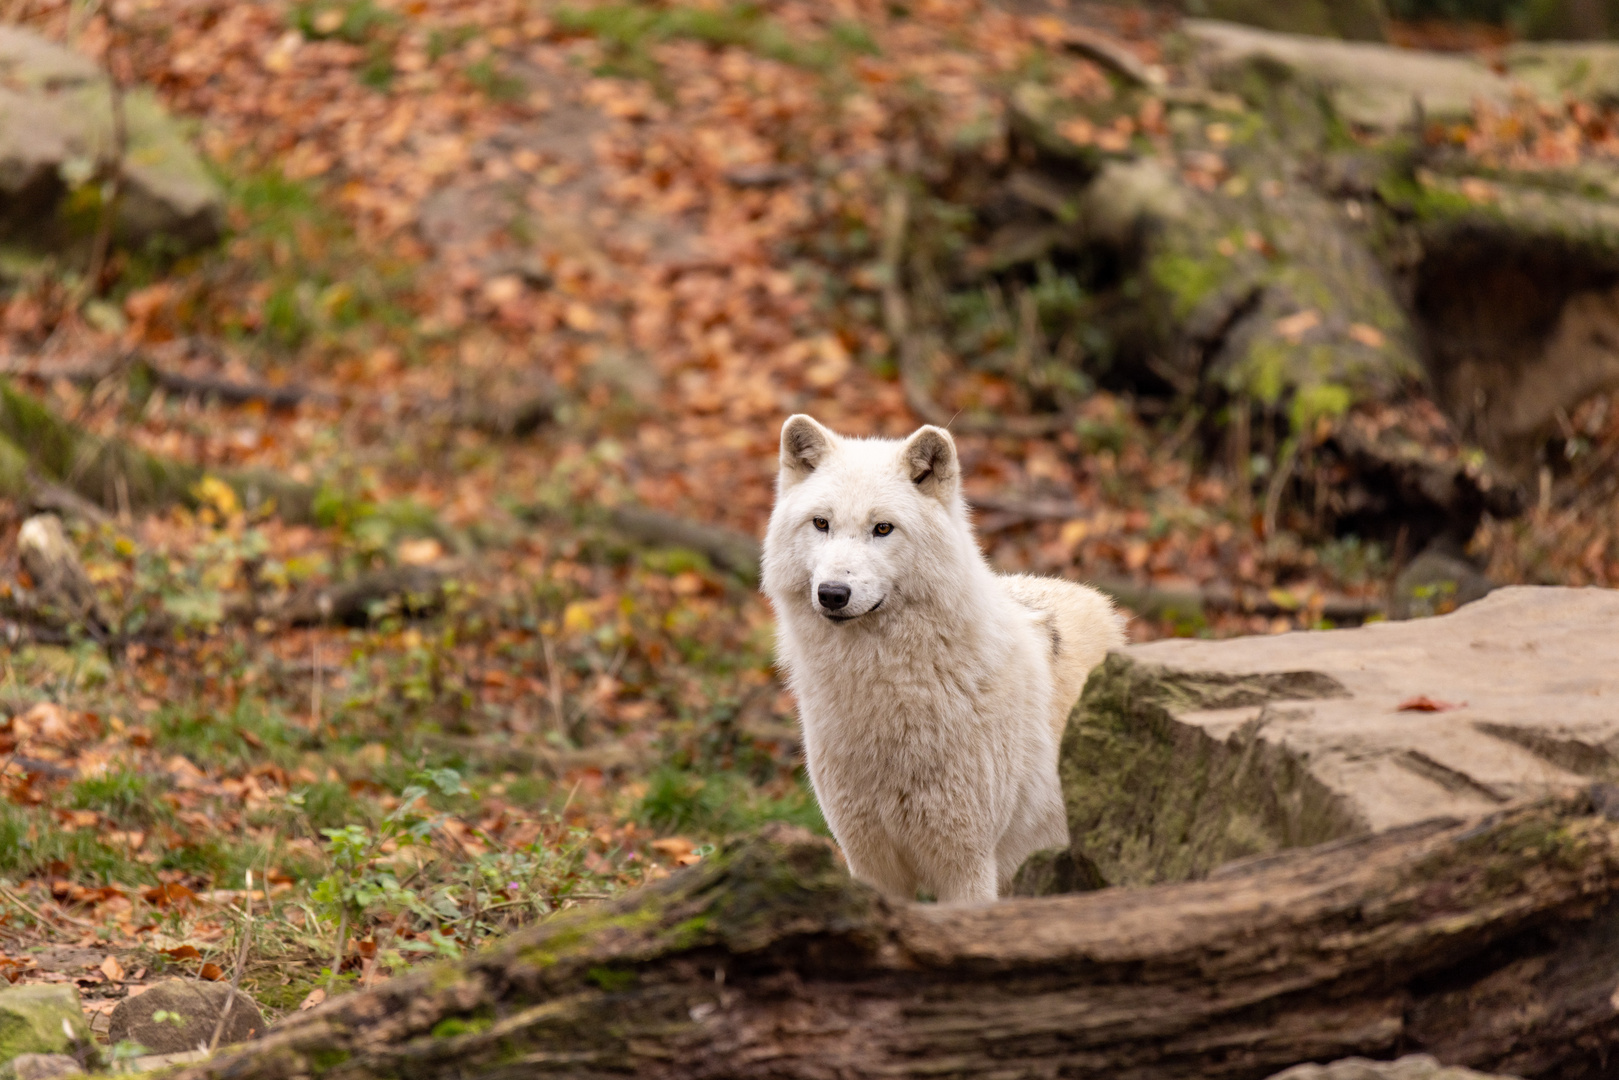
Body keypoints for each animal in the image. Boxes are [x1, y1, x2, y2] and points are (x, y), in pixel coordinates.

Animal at [760, 414, 1126, 906]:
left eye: (883, 529)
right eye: (821, 523)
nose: (833, 593)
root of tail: (1100, 600)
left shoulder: (967, 867)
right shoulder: (870, 862)